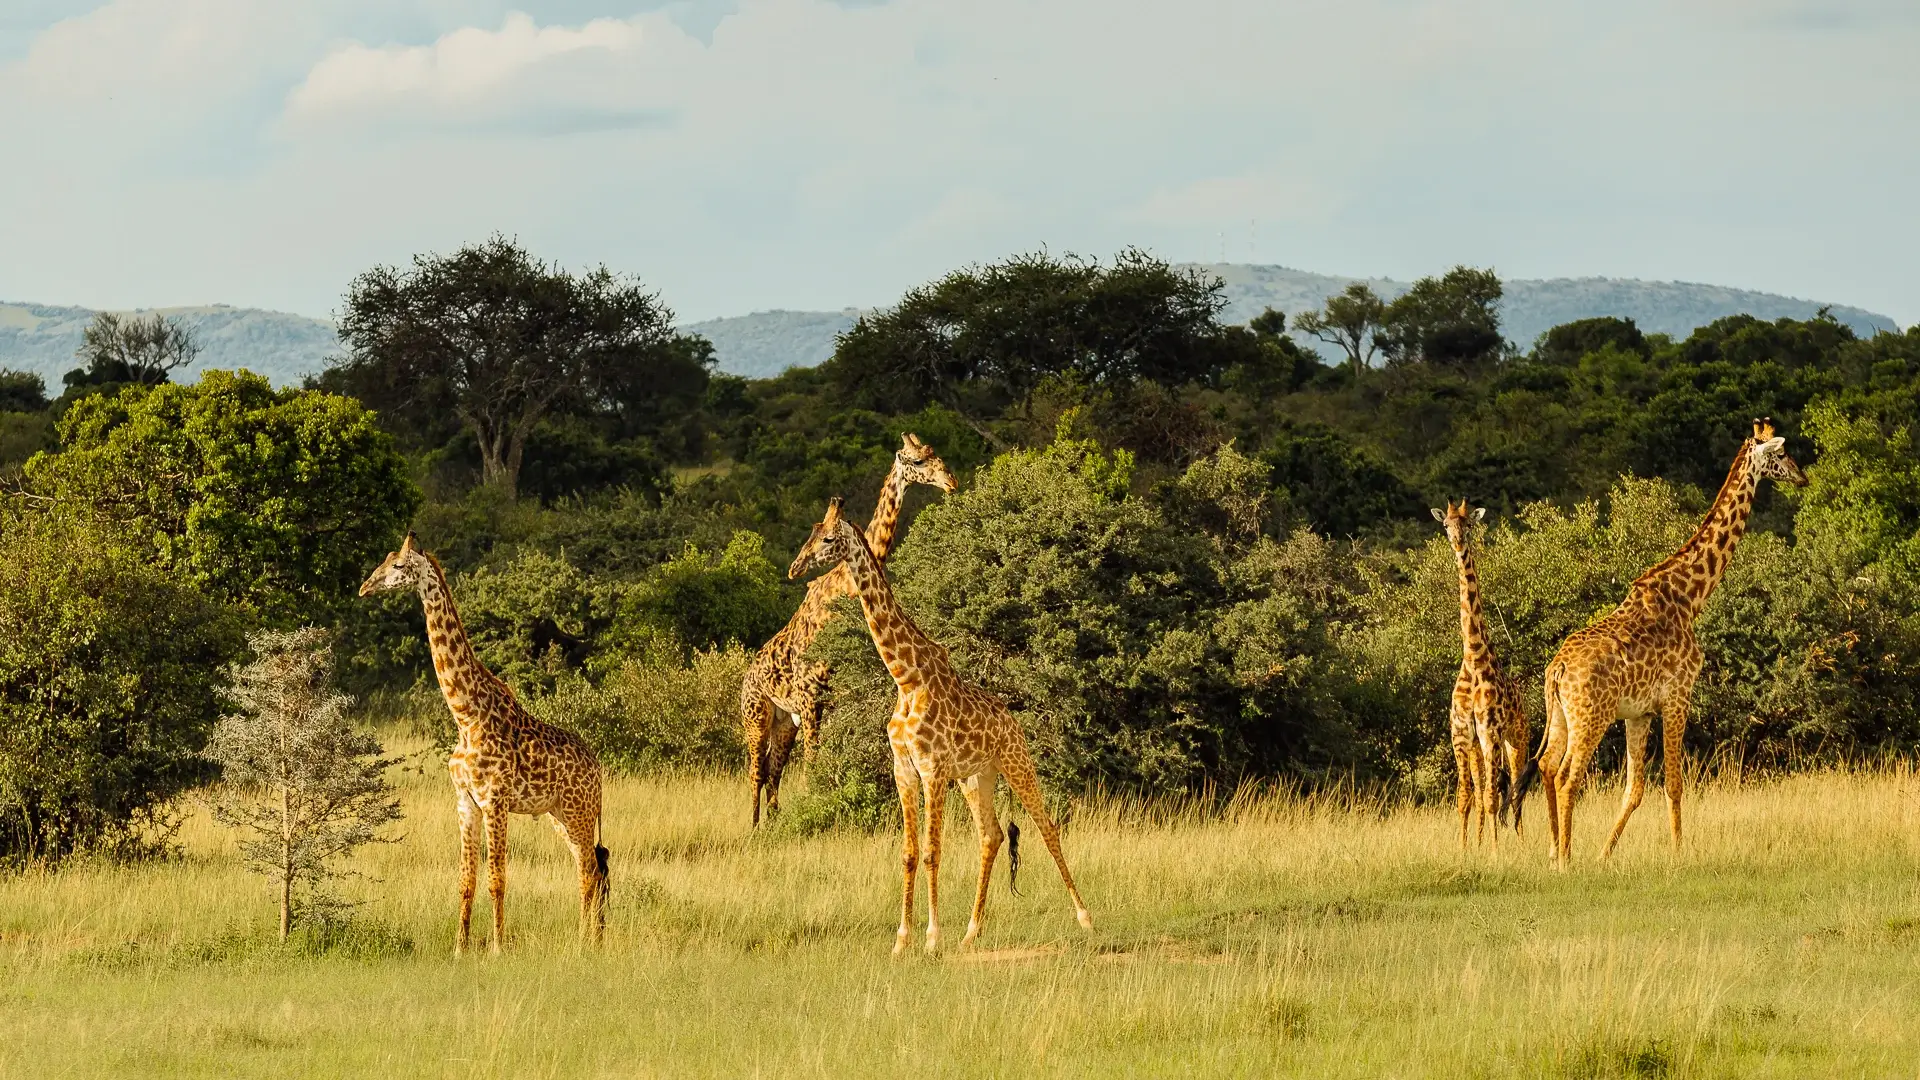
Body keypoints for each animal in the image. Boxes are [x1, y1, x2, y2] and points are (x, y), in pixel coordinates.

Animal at [357, 530, 602, 949]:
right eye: (384, 560)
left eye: (398, 565)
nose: (365, 587)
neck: (466, 716)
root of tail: (600, 771)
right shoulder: (464, 801)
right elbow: (466, 882)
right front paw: (460, 948)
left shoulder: (495, 801)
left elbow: (497, 881)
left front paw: (498, 949)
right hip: (560, 815)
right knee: (591, 868)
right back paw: (594, 939)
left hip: (578, 811)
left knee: (589, 872)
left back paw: (586, 943)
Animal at [744, 432, 960, 818]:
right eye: (918, 461)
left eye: (934, 454)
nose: (951, 482)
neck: (842, 584)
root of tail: (745, 678)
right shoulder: (811, 699)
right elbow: (815, 764)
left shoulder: (830, 700)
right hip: (756, 716)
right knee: (756, 771)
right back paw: (754, 825)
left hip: (783, 721)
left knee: (772, 769)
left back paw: (772, 821)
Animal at [783, 495, 1098, 949]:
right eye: (811, 532)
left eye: (827, 538)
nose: (795, 567)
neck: (906, 678)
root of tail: (1013, 722)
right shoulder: (905, 769)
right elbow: (909, 853)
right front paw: (902, 940)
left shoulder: (932, 769)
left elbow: (933, 852)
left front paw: (931, 938)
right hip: (976, 776)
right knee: (992, 835)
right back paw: (970, 931)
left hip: (1016, 764)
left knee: (1048, 827)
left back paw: (1085, 917)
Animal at [1436, 499, 1536, 849]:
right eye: (1446, 525)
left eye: (1468, 524)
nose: (1457, 542)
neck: (1475, 658)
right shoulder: (1462, 732)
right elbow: (1467, 797)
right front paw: (1467, 849)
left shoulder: (1490, 731)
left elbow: (1494, 797)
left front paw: (1493, 852)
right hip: (1480, 744)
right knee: (1484, 792)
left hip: (1516, 738)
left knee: (1516, 791)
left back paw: (1520, 843)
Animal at [1536, 417, 1804, 860]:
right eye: (1781, 453)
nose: (1802, 477)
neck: (1690, 596)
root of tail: (1556, 669)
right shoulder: (1678, 695)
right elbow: (1674, 784)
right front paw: (1680, 854)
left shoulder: (1640, 712)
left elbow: (1635, 789)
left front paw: (1605, 854)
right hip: (1591, 717)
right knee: (1566, 777)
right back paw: (1565, 860)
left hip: (1561, 715)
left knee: (1545, 767)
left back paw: (1556, 851)